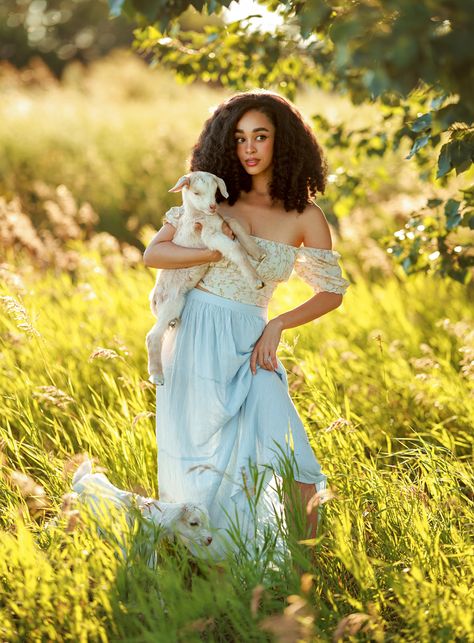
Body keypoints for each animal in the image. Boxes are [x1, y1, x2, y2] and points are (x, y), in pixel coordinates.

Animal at [144, 169, 266, 384]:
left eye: (215, 190)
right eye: (196, 193)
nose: (212, 206)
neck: (203, 217)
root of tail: (154, 299)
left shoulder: (223, 223)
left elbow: (235, 223)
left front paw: (256, 251)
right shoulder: (209, 236)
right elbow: (235, 250)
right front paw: (255, 280)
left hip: (174, 307)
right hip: (171, 302)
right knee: (153, 337)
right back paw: (157, 375)